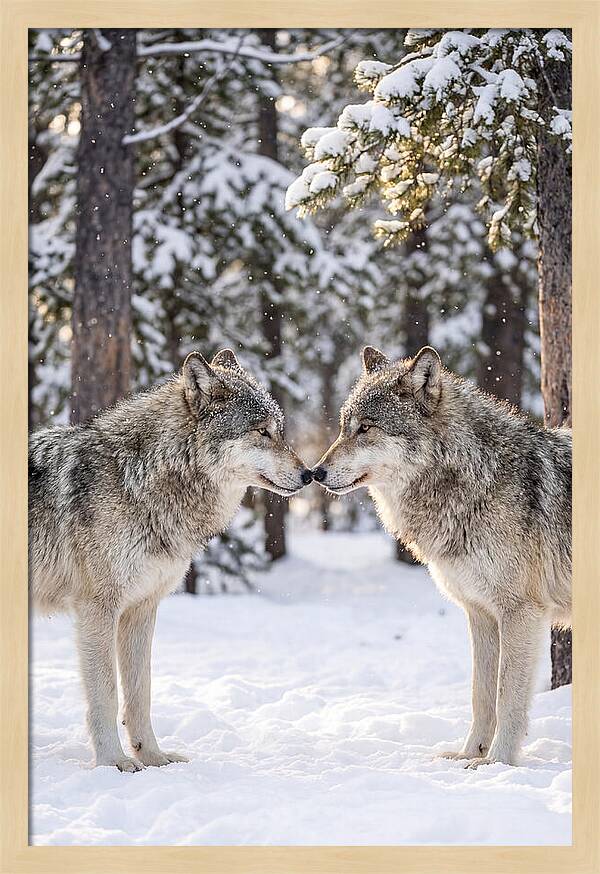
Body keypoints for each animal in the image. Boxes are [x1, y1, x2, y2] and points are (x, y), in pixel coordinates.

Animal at [29, 349, 312, 771]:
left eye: (279, 431)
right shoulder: (97, 609)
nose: (310, 474)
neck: (139, 481)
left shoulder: (142, 608)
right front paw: (113, 762)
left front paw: (153, 756)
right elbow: (106, 693)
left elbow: (140, 692)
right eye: (262, 431)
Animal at [313, 345, 571, 767]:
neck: (476, 479)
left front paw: (496, 762)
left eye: (366, 428)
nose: (315, 472)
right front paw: (469, 754)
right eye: (343, 428)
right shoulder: (480, 613)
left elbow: (507, 698)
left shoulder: (521, 613)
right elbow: (481, 695)